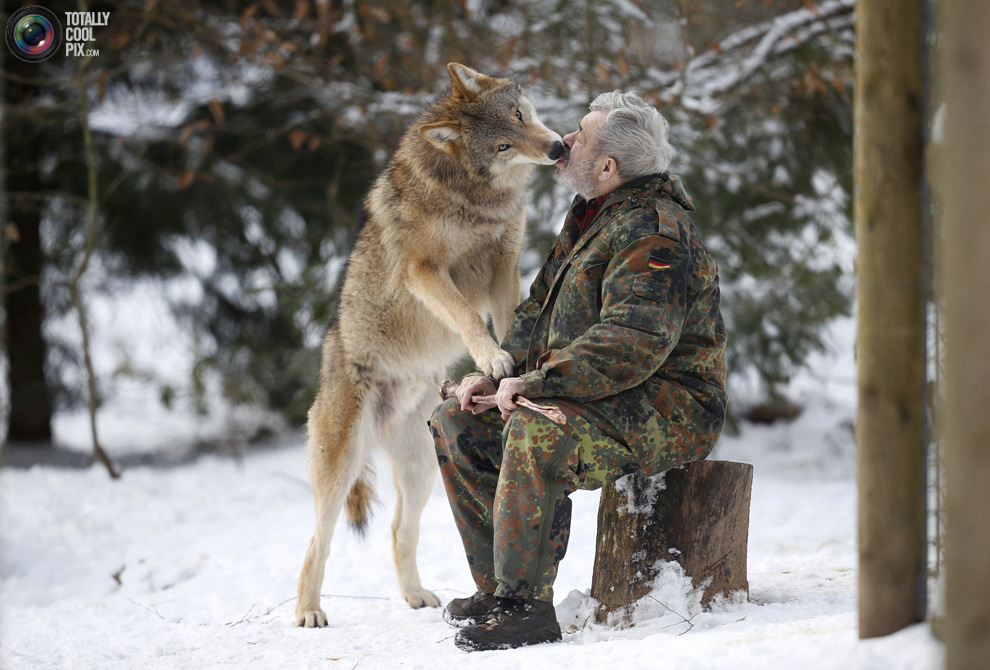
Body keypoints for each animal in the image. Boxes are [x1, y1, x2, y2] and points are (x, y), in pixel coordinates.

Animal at [292, 63, 564, 632]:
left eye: (521, 115)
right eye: (503, 145)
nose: (555, 149)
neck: (474, 196)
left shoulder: (504, 261)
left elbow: (510, 317)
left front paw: (512, 367)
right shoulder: (425, 271)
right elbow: (466, 316)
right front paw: (492, 357)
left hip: (421, 471)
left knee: (400, 529)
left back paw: (416, 596)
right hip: (341, 466)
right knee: (316, 542)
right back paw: (308, 612)